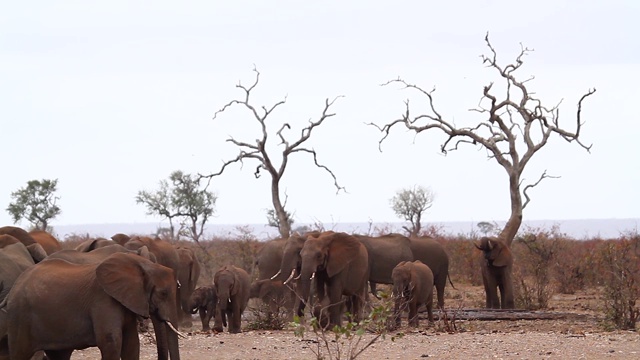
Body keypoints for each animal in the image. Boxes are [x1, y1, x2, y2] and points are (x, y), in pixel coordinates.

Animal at [6, 252, 182, 360]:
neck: (140, 263)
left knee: (59, 355)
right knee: (19, 354)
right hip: (19, 318)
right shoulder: (103, 301)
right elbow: (111, 342)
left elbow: (131, 344)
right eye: (163, 293)